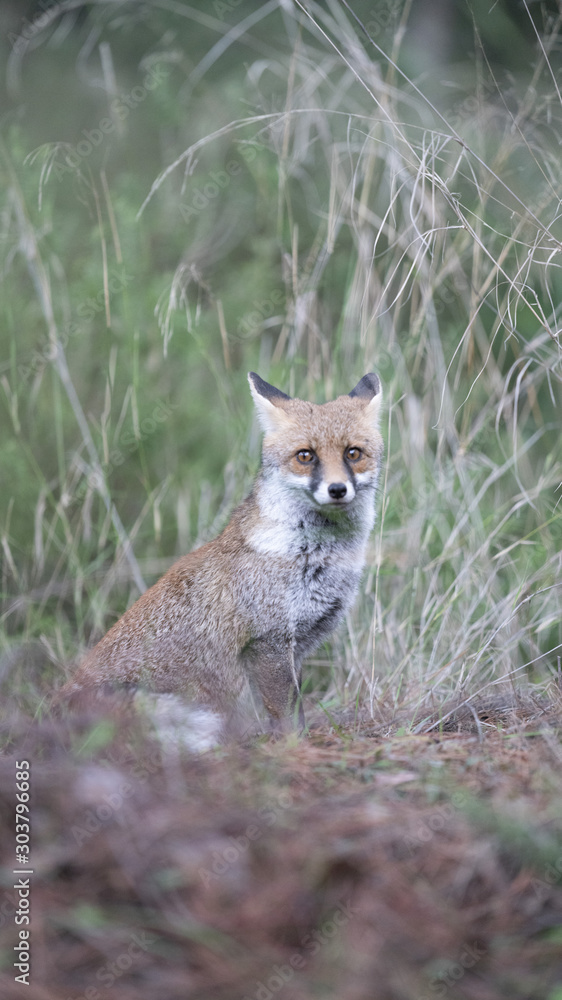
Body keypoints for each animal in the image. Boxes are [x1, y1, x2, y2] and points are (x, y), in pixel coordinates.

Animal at [62, 372, 383, 732]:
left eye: (353, 453)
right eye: (305, 456)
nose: (337, 489)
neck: (314, 554)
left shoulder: (296, 646)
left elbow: (295, 710)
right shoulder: (268, 643)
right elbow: (287, 719)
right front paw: (293, 745)